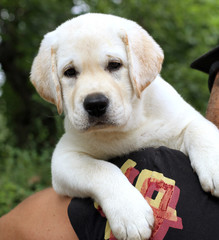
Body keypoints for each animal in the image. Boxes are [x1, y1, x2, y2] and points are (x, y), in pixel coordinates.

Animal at [30, 13, 219, 240]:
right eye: (69, 72)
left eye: (114, 65)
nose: (95, 104)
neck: (126, 127)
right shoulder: (64, 158)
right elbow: (101, 169)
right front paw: (130, 215)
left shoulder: (186, 119)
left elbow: (200, 131)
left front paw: (216, 168)